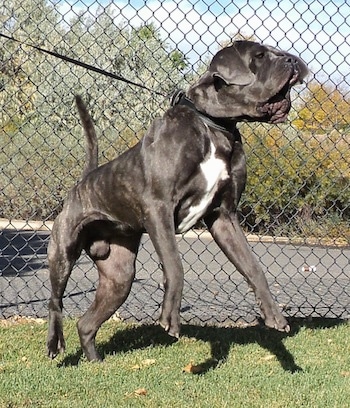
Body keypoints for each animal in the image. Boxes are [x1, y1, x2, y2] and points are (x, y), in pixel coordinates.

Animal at [45, 40, 306, 360]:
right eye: (259, 56)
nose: (293, 61)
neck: (213, 126)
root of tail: (84, 180)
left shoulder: (225, 217)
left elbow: (254, 267)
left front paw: (274, 316)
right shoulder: (159, 208)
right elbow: (175, 264)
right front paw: (170, 316)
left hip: (119, 276)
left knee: (86, 322)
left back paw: (94, 361)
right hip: (63, 251)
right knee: (55, 301)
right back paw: (54, 343)